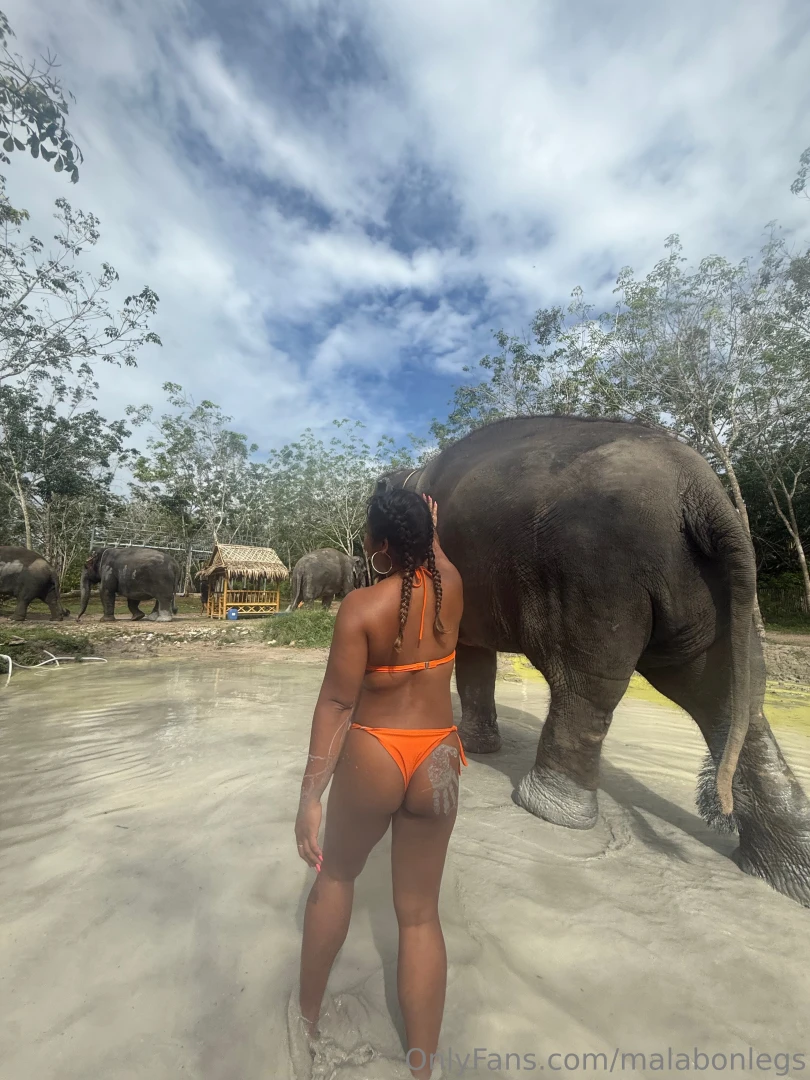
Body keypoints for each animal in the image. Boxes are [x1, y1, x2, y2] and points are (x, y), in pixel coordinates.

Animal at [377, 415, 810, 907]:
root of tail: (704, 492)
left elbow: (468, 649)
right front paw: (478, 747)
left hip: (597, 574)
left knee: (586, 683)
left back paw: (547, 810)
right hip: (710, 591)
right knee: (730, 697)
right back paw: (788, 872)